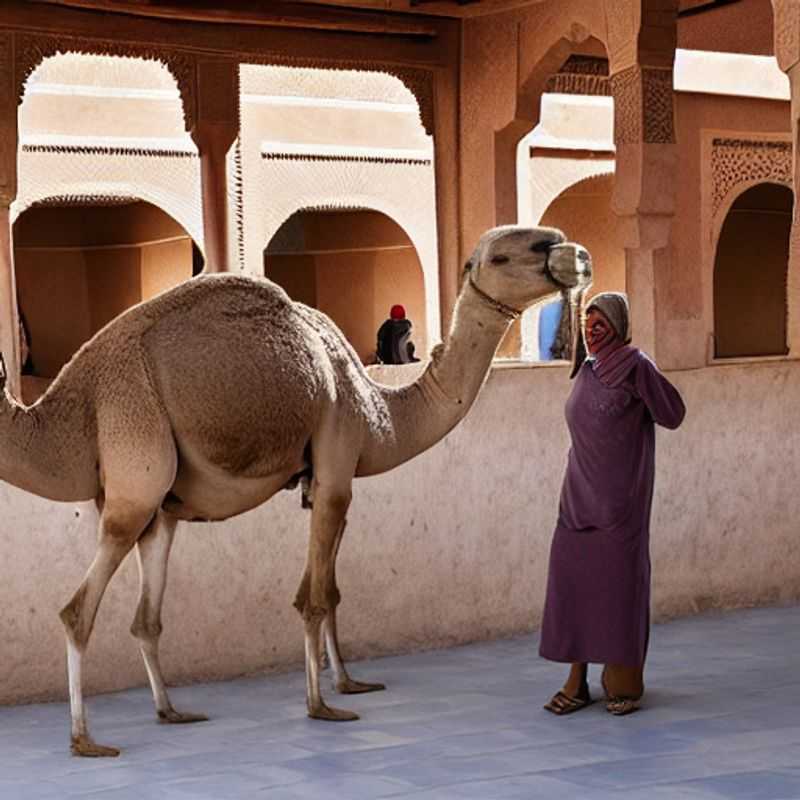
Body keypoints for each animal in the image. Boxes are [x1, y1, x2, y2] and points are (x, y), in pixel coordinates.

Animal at [2, 224, 590, 757]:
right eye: (506, 254)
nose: (577, 255)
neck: (382, 412)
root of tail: (78, 394)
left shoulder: (325, 479)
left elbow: (330, 588)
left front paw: (349, 681)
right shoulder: (337, 459)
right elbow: (312, 596)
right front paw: (322, 706)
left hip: (159, 503)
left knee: (146, 614)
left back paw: (171, 711)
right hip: (135, 458)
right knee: (77, 610)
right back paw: (85, 740)